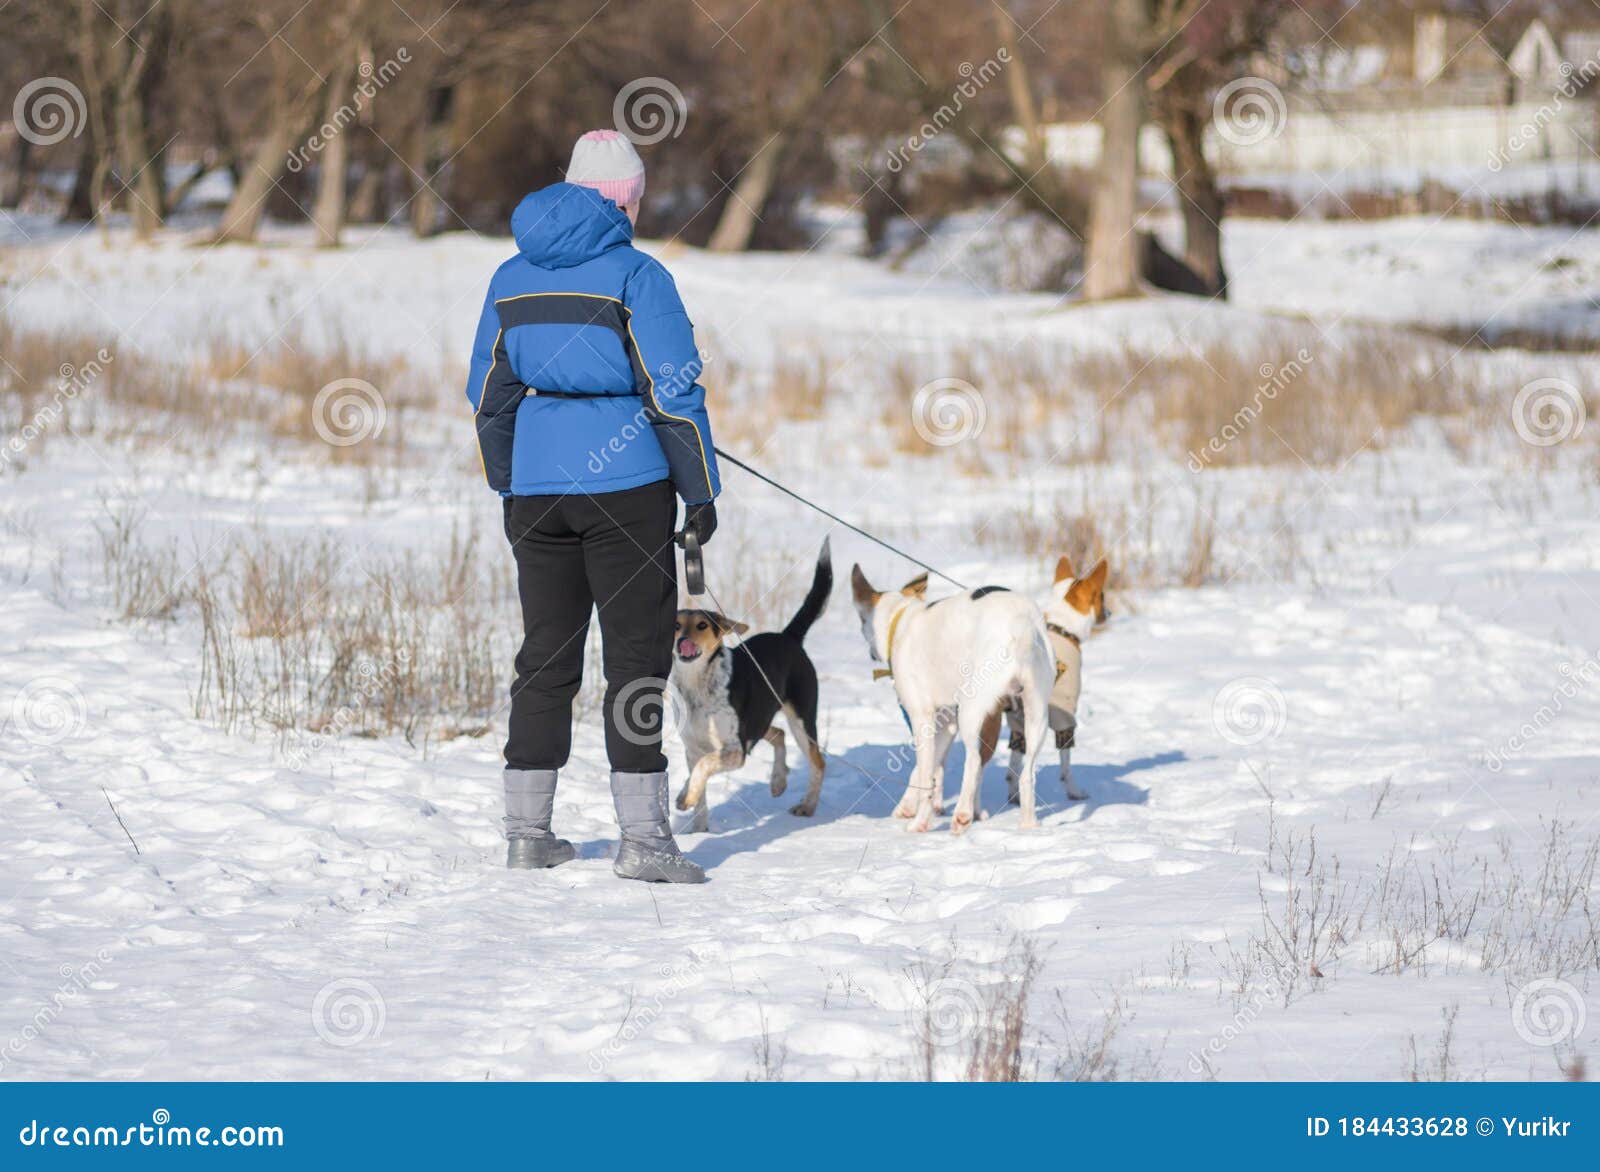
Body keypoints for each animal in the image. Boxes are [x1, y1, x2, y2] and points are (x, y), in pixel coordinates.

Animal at [665, 541, 832, 832]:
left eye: (702, 625)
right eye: (676, 625)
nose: (682, 640)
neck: (697, 684)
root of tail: (788, 637)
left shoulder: (735, 750)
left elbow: (704, 766)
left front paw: (688, 797)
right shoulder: (692, 748)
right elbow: (699, 788)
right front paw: (697, 825)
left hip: (800, 719)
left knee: (818, 761)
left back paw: (807, 806)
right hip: (759, 719)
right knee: (778, 733)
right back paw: (778, 781)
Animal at [844, 563, 1056, 826]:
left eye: (862, 620)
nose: (872, 653)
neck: (901, 619)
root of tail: (1021, 623)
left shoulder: (922, 717)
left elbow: (926, 775)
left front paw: (918, 817)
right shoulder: (946, 722)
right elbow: (926, 769)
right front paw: (907, 806)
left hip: (972, 711)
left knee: (974, 761)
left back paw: (959, 815)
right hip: (1036, 714)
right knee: (1027, 774)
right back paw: (1028, 824)